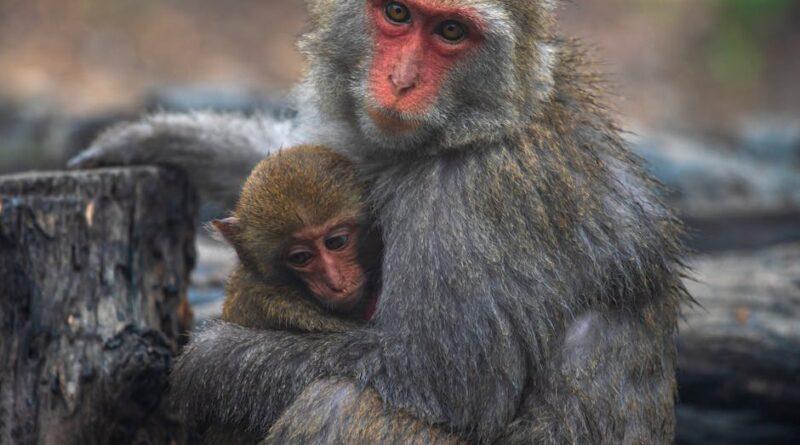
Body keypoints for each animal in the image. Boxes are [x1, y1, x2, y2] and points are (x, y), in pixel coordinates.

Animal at [72, 1, 689, 443]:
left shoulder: (470, 200)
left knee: (342, 405)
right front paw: (166, 139)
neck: (482, 122)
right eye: (397, 14)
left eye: (451, 32)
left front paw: (208, 362)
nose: (401, 81)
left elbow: (443, 378)